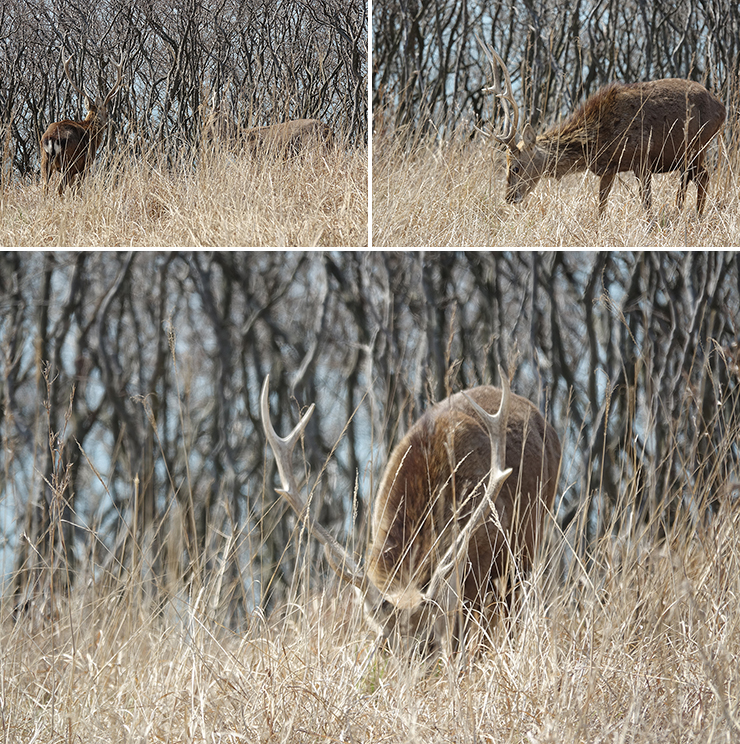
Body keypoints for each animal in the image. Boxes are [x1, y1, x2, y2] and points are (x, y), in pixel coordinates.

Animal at [40, 53, 124, 198]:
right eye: (107, 112)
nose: (108, 124)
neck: (91, 130)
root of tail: (51, 139)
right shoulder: (85, 165)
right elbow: (78, 191)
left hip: (45, 161)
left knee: (45, 187)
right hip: (68, 163)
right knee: (59, 189)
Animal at [264, 368, 556, 656]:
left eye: (428, 644)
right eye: (384, 646)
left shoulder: (481, 564)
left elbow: (462, 643)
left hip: (525, 550)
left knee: (509, 615)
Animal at [480, 41, 728, 217]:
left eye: (515, 167)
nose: (509, 197)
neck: (596, 140)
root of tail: (722, 108)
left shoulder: (642, 158)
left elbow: (647, 206)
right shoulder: (609, 168)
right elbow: (601, 206)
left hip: (697, 145)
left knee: (702, 177)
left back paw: (695, 217)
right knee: (694, 178)